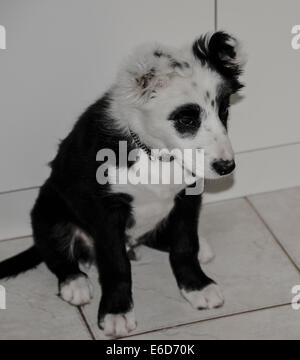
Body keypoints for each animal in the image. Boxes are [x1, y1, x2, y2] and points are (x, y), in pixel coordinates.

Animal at [0, 31, 244, 338]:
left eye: (224, 112)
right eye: (186, 119)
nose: (227, 167)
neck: (156, 155)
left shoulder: (187, 198)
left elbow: (185, 245)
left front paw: (197, 286)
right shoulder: (106, 211)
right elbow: (116, 265)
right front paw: (116, 311)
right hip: (48, 209)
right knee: (55, 253)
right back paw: (75, 283)